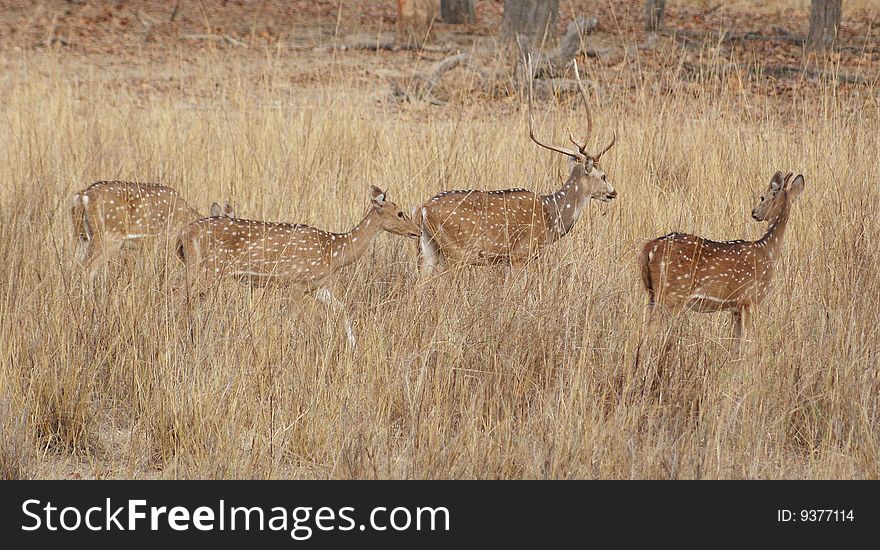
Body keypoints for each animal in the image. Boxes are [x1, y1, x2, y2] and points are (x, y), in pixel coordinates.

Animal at [174, 185, 422, 350]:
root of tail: (183, 234)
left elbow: (342, 308)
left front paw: (354, 346)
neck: (333, 251)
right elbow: (291, 318)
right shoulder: (297, 281)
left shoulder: (316, 286)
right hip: (207, 270)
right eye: (400, 212)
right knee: (182, 297)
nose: (418, 231)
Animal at [416, 60, 616, 278]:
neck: (552, 217)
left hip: (427, 248)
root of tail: (423, 209)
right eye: (604, 176)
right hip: (456, 251)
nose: (613, 192)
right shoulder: (521, 254)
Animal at [636, 171, 808, 340]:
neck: (768, 250)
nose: (754, 212)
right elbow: (748, 340)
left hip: (652, 293)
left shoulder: (736, 306)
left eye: (762, 197)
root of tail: (648, 249)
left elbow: (737, 341)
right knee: (651, 330)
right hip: (673, 293)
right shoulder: (751, 298)